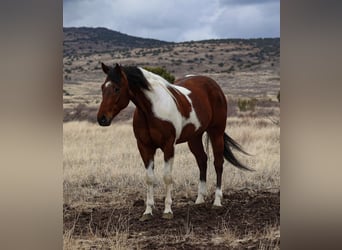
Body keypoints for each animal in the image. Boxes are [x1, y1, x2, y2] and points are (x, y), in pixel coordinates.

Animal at [97, 62, 251, 221]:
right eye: (103, 87)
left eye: (116, 88)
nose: (102, 118)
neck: (152, 109)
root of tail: (213, 84)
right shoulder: (144, 147)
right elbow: (149, 178)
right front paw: (147, 211)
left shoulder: (168, 146)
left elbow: (167, 177)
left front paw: (167, 210)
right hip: (194, 138)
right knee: (202, 161)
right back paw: (199, 200)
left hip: (216, 133)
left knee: (218, 163)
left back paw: (217, 201)